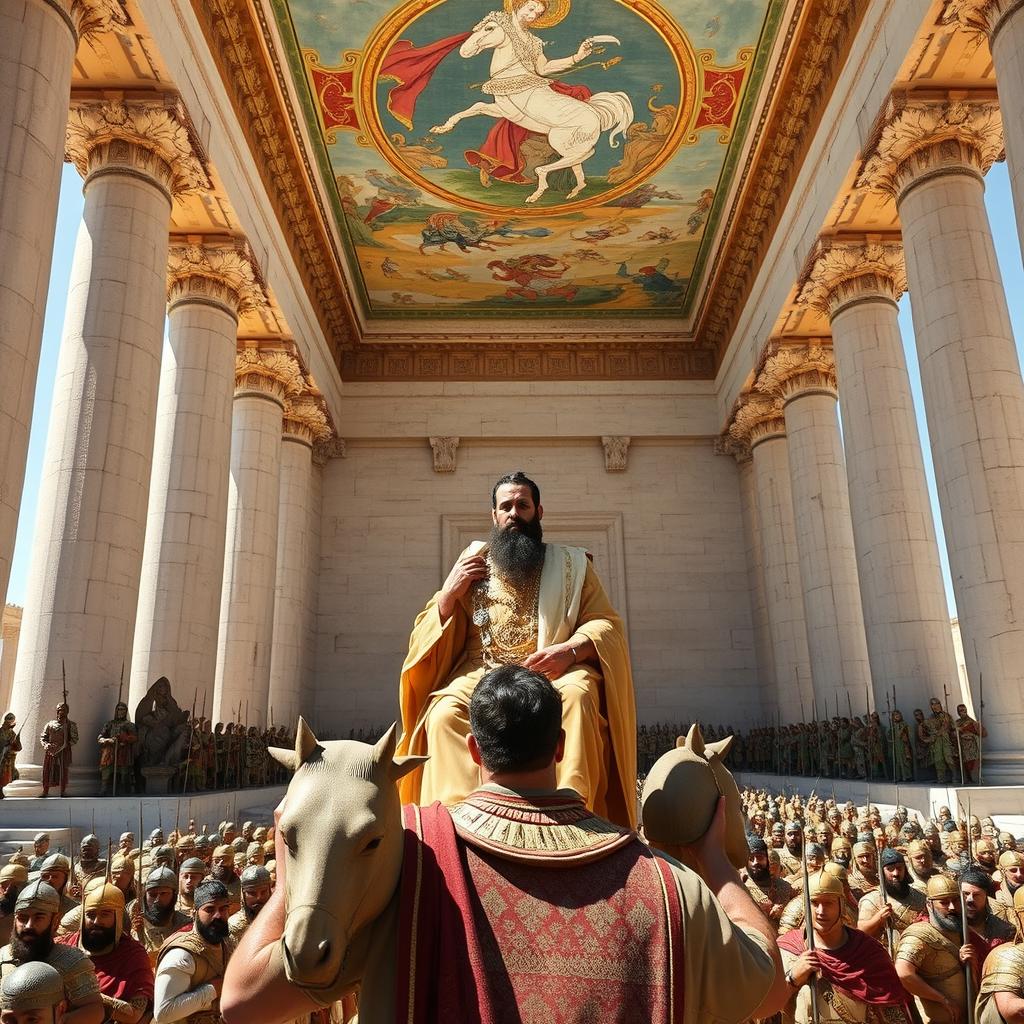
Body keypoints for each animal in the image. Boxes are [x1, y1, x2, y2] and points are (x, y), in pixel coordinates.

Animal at [425, 0, 630, 203]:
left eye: (489, 28)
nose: (465, 50)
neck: (513, 73)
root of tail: (598, 114)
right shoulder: (502, 109)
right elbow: (477, 107)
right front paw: (442, 128)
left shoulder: (506, 110)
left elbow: (478, 107)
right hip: (568, 144)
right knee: (577, 160)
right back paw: (575, 190)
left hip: (560, 139)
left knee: (585, 154)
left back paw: (539, 187)